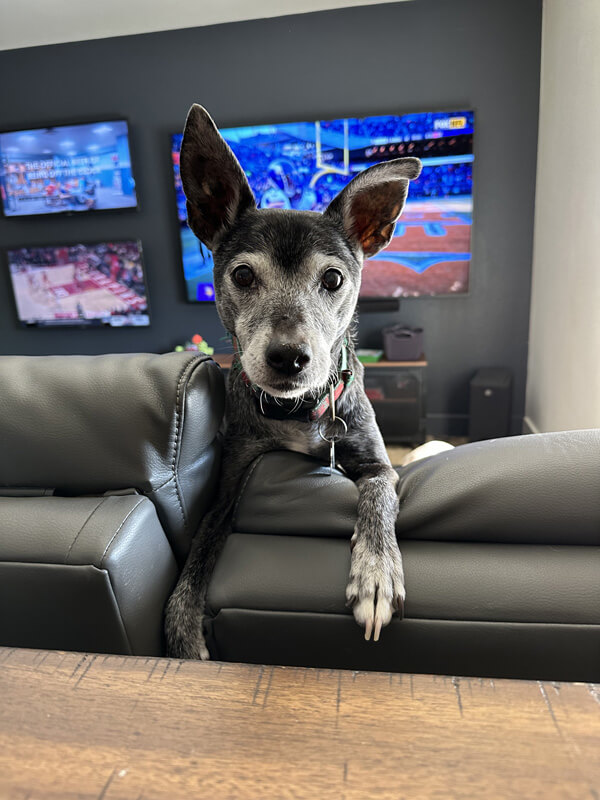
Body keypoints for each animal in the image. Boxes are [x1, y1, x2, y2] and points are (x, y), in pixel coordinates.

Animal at [164, 103, 424, 660]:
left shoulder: (379, 465)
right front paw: (183, 631)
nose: (289, 358)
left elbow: (378, 496)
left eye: (333, 279)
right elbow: (201, 546)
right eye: (242, 275)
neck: (301, 410)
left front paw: (376, 574)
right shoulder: (232, 477)